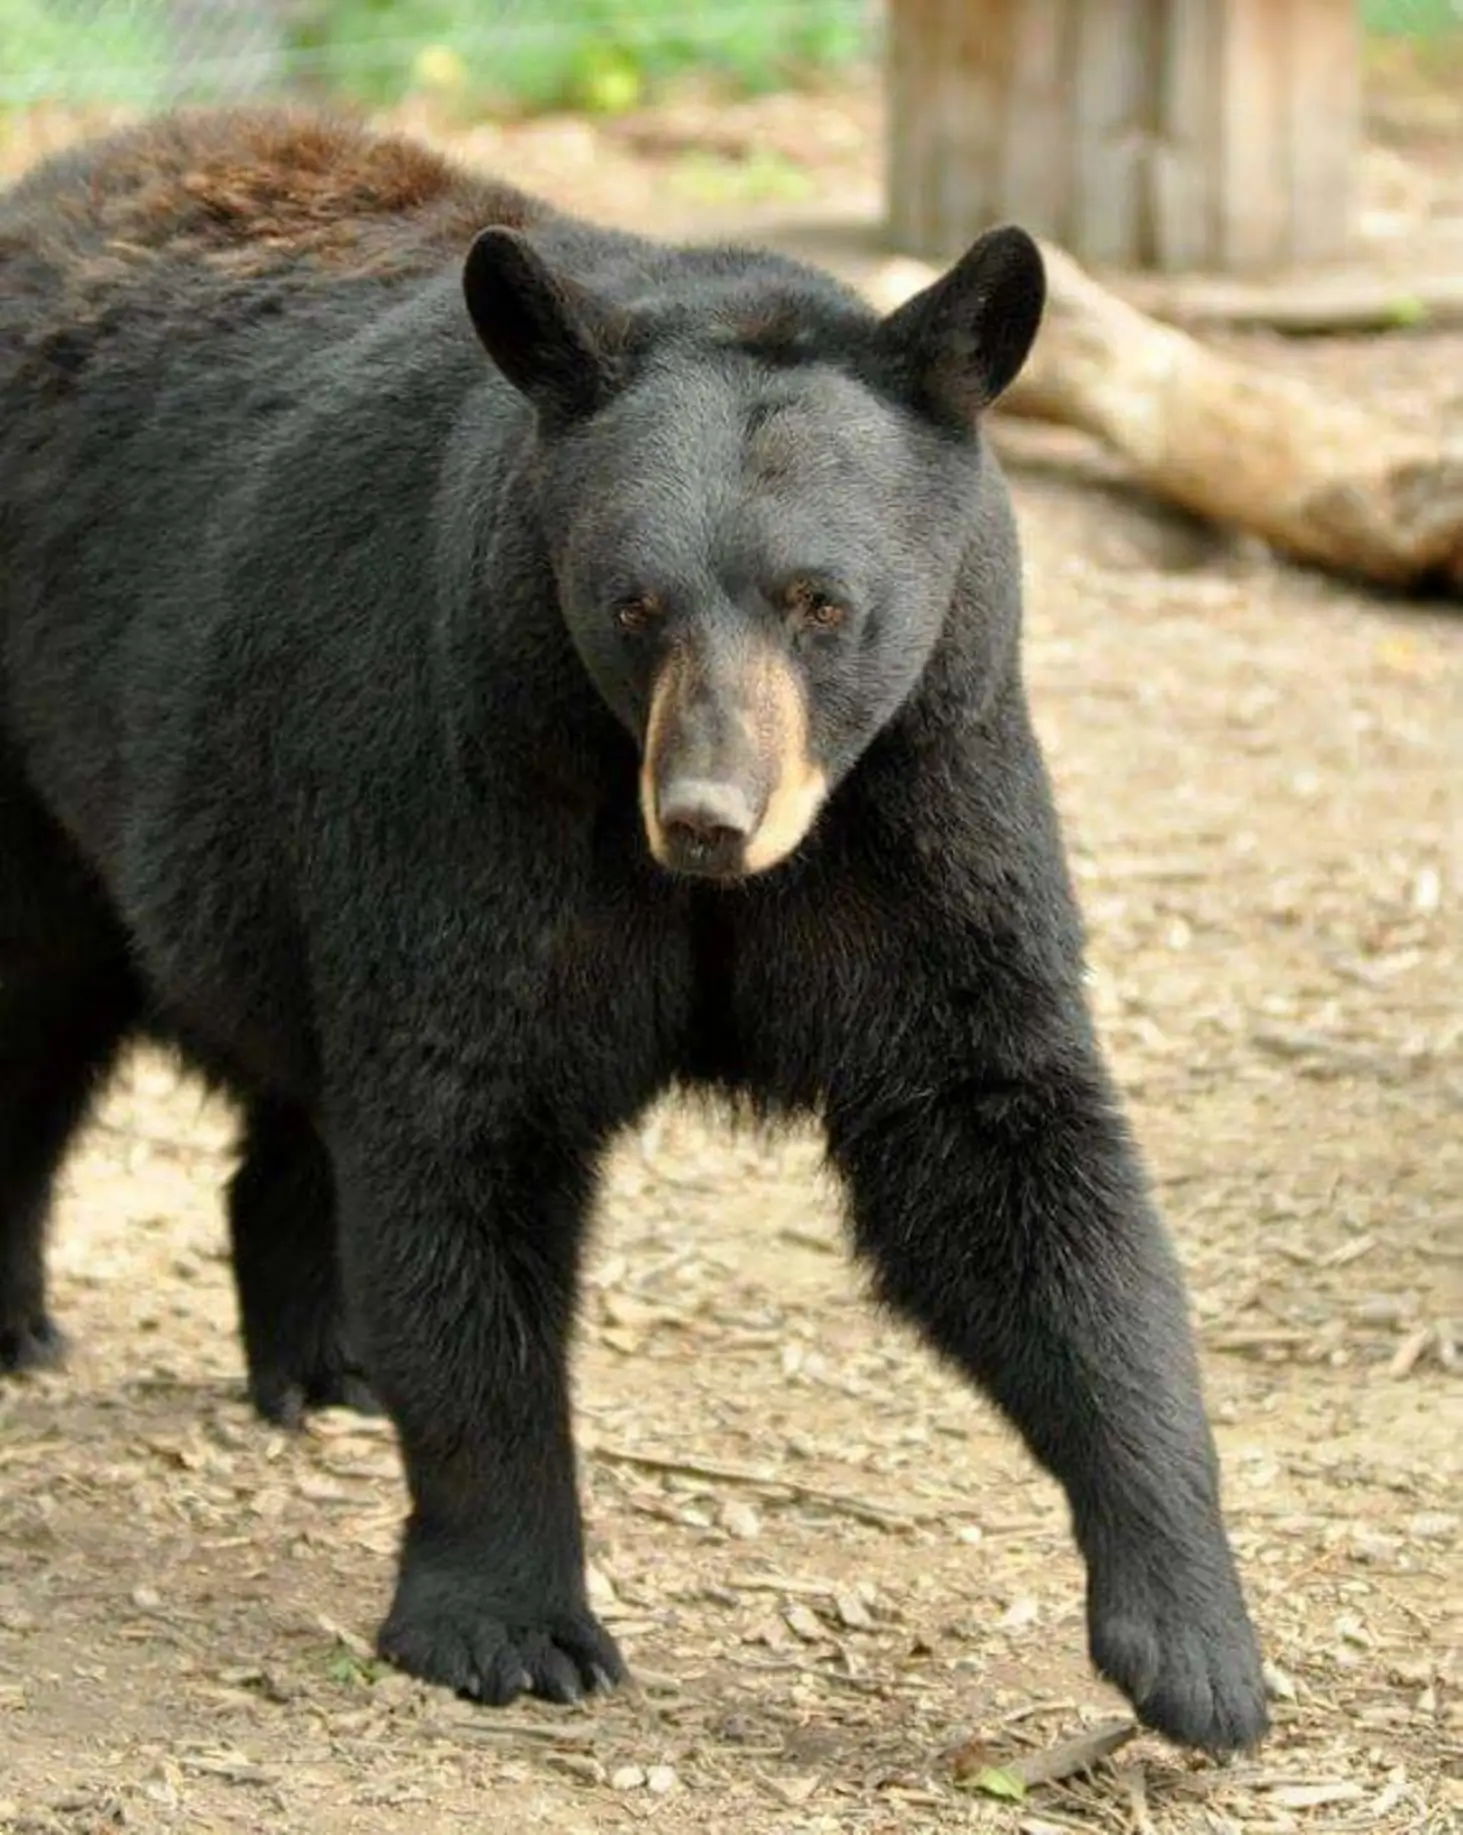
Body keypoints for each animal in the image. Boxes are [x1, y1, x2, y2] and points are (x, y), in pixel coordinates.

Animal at [0, 108, 1268, 1754]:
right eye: (631, 602)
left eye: (820, 600)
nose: (709, 815)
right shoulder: (472, 780)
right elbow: (468, 1131)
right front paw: (508, 1617)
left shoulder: (924, 800)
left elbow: (1005, 1145)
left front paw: (1192, 1639)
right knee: (34, 1017)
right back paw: (23, 1322)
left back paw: (323, 1356)